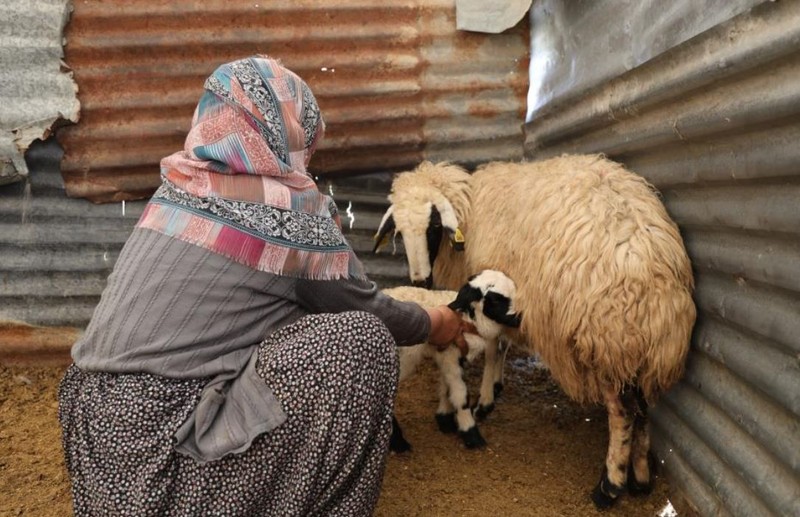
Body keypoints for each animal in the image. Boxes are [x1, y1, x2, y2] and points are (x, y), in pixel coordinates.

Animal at [374, 154, 692, 508]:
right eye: (400, 231)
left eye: (431, 227)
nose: (420, 281)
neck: (470, 209)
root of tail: (651, 276)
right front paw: (483, 392)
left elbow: (494, 344)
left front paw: (483, 400)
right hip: (646, 350)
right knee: (644, 410)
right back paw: (640, 477)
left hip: (607, 344)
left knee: (623, 414)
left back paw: (610, 486)